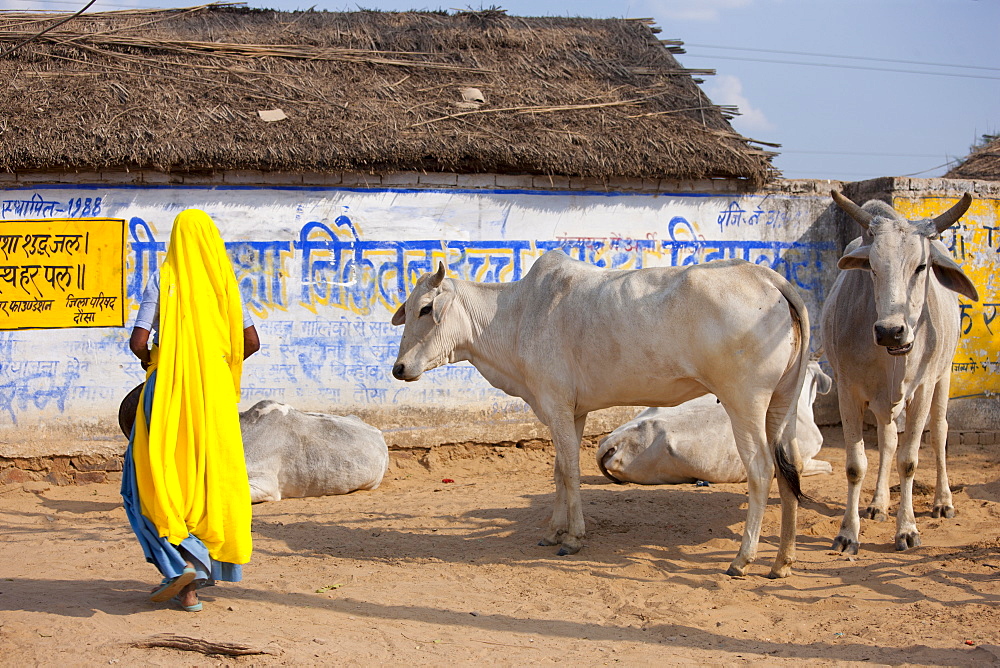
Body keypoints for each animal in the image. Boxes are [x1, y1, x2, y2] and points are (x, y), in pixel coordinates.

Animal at [824, 190, 980, 556]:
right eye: (872, 268)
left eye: (921, 266)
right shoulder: (848, 390)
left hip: (943, 377)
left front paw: (907, 530)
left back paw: (943, 501)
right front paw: (848, 533)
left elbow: (909, 460)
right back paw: (878, 504)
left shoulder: (922, 388)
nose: (890, 332)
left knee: (939, 433)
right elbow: (856, 464)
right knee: (888, 440)